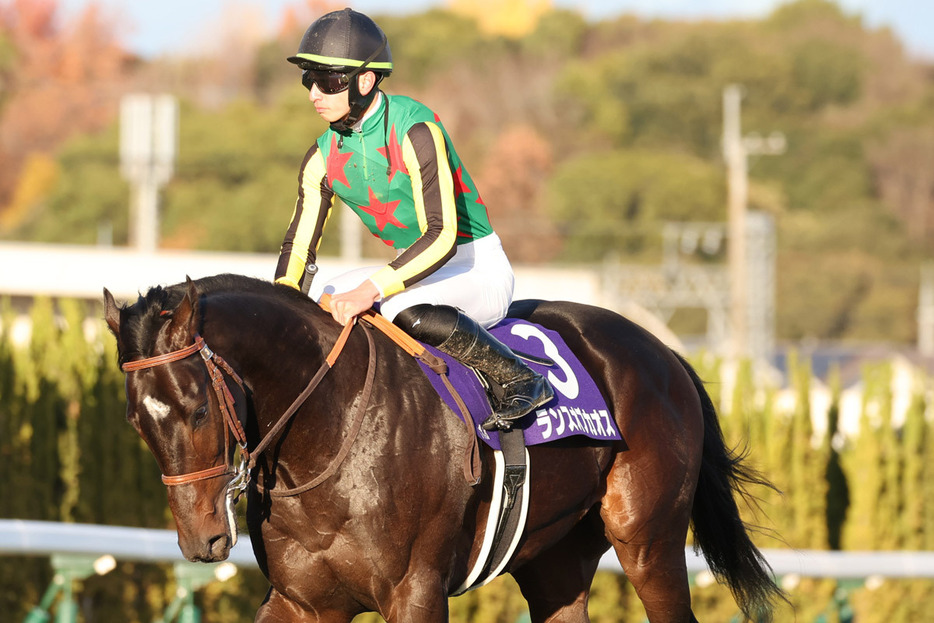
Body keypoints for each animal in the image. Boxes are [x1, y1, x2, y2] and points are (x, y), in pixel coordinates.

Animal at [102, 276, 784, 620]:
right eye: (136, 420)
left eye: (196, 409)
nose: (203, 540)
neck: (332, 434)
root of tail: (667, 352)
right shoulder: (302, 601)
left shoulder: (415, 592)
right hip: (557, 558)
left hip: (648, 541)